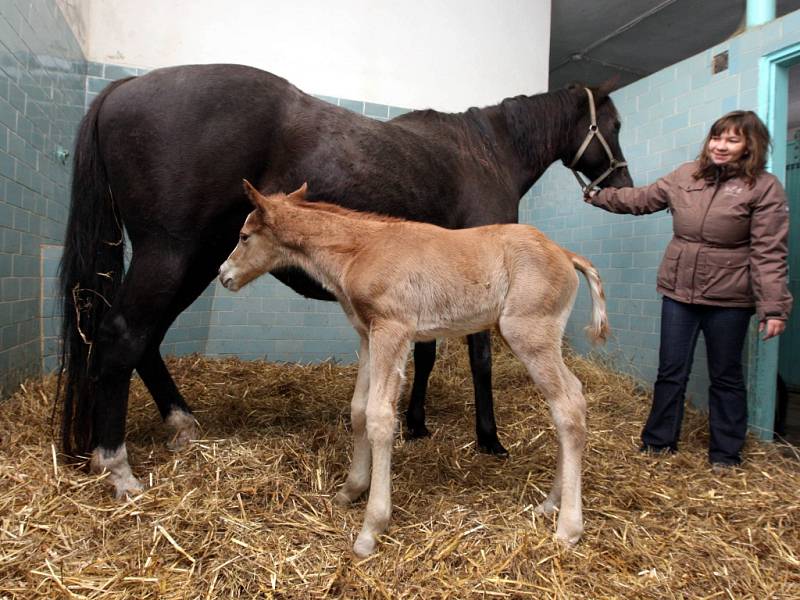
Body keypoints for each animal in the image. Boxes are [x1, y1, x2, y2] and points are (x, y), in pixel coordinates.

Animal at [216, 183, 608, 556]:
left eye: (244, 236)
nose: (223, 275)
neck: (359, 250)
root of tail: (566, 254)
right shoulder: (367, 334)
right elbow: (359, 410)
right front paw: (350, 490)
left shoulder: (393, 329)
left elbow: (380, 417)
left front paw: (371, 528)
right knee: (572, 399)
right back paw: (550, 503)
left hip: (528, 333)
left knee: (568, 406)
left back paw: (568, 528)